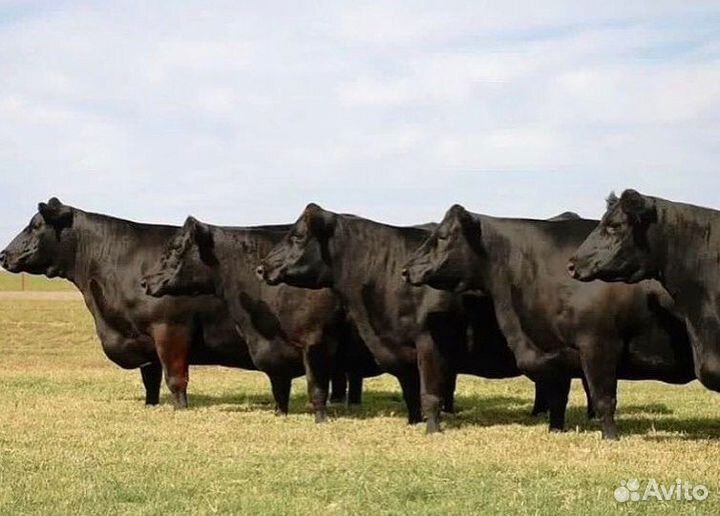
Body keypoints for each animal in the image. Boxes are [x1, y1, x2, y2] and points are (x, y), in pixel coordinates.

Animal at [0, 198, 345, 412]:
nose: (4, 255)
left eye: (34, 225)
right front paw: (150, 405)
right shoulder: (141, 337)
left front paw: (180, 408)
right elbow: (151, 378)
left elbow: (174, 377)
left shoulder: (170, 328)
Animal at [142, 216, 377, 422]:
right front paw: (280, 415)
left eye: (176, 247)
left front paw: (321, 420)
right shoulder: (273, 354)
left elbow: (316, 387)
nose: (145, 281)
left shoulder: (316, 341)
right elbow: (279, 389)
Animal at [256, 203, 587, 432]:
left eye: (298, 236)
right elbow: (410, 390)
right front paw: (413, 422)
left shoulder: (430, 342)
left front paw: (432, 428)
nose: (261, 268)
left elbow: (430, 390)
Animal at [403, 204, 694, 439]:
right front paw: (555, 429)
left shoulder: (598, 344)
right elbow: (557, 398)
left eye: (442, 236)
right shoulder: (556, 351)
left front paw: (610, 437)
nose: (407, 269)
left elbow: (603, 398)